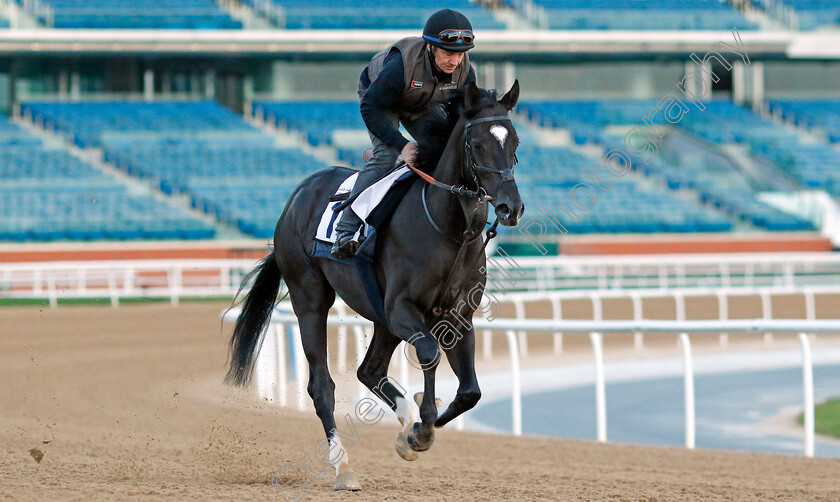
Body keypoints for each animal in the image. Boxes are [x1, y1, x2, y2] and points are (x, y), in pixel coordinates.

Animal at [226, 80, 520, 492]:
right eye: (477, 145)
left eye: (515, 142)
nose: (511, 207)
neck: (449, 228)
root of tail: (298, 195)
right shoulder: (402, 308)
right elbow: (429, 353)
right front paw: (421, 428)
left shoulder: (458, 315)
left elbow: (470, 392)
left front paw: (412, 431)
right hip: (310, 298)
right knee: (322, 387)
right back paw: (344, 468)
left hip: (380, 318)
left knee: (369, 371)